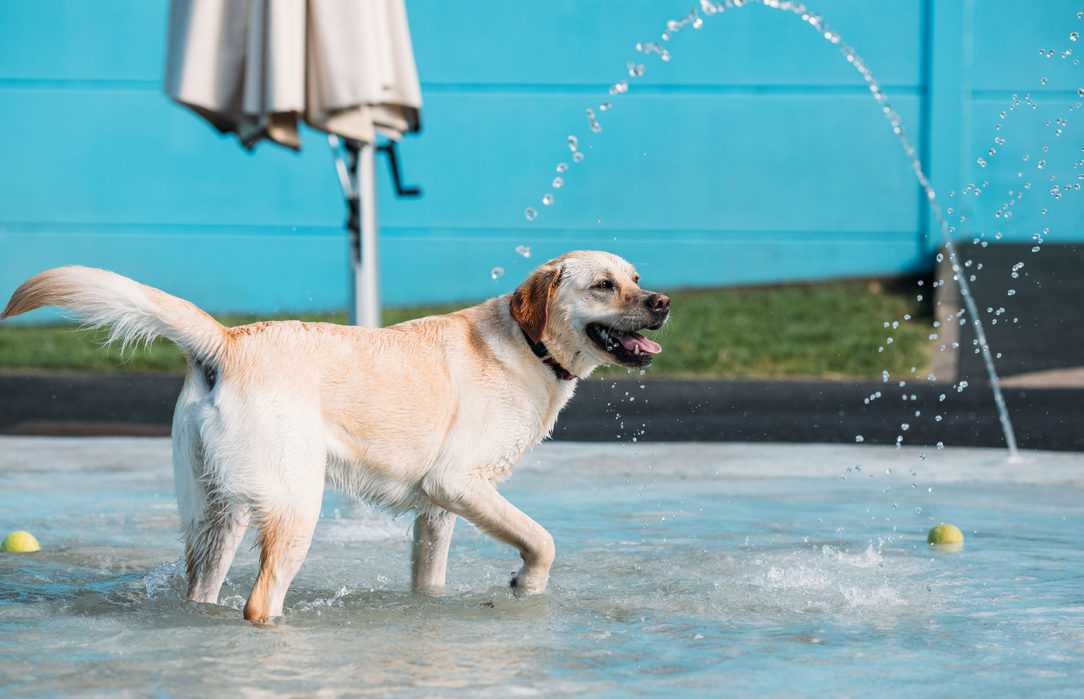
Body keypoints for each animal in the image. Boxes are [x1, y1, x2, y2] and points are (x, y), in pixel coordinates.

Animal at [2, 250, 667, 619]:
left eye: (636, 276)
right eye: (604, 285)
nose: (661, 301)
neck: (530, 345)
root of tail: (227, 341)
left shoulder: (439, 511)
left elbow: (430, 579)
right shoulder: (457, 484)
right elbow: (542, 540)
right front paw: (526, 584)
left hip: (217, 515)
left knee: (204, 590)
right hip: (296, 503)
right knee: (260, 602)